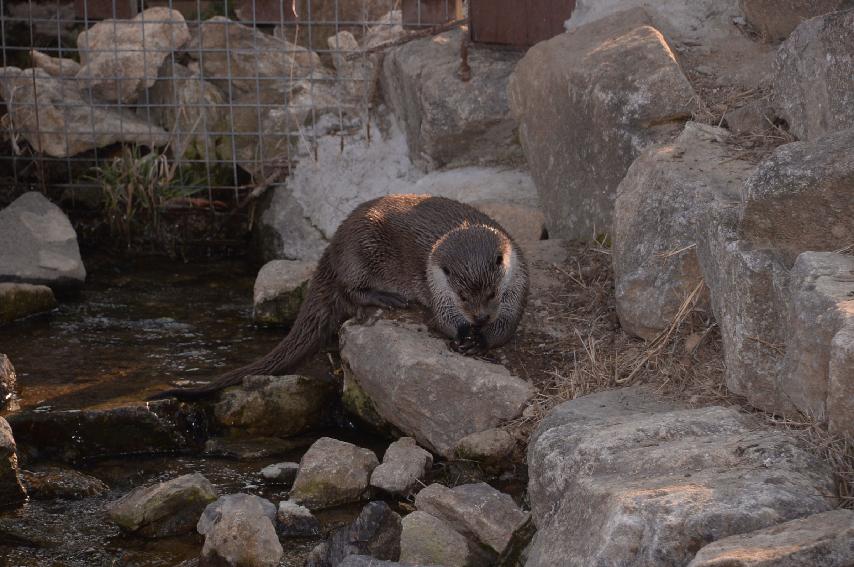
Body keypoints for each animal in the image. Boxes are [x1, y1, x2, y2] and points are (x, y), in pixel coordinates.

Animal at [153, 195, 528, 400]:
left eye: (492, 292)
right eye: (462, 296)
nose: (480, 318)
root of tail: (332, 245)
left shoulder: (518, 283)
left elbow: (507, 324)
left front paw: (481, 338)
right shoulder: (436, 285)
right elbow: (442, 318)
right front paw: (464, 334)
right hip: (361, 249)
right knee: (350, 289)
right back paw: (386, 297)